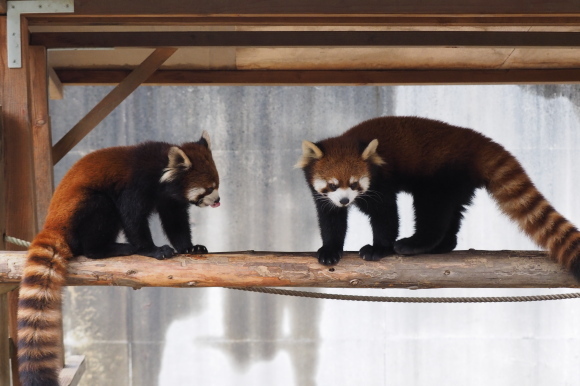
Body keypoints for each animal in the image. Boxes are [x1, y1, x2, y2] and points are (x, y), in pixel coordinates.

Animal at [18, 132, 221, 386]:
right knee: (101, 209)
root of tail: (52, 224)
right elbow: (132, 217)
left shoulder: (168, 199)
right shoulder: (134, 185)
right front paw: (152, 250)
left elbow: (175, 221)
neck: (160, 171)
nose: (218, 200)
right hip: (82, 208)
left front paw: (190, 247)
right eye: (209, 188)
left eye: (217, 184)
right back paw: (112, 248)